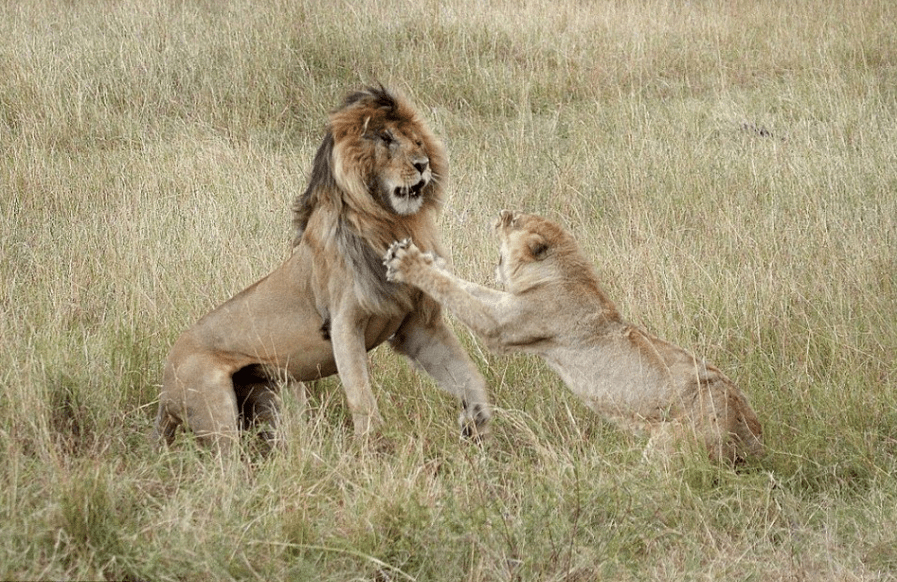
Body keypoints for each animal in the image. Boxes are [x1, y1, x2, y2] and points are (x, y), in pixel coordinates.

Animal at [154, 86, 490, 452]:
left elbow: (469, 377)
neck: (388, 223)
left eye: (417, 141)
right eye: (386, 138)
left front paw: (477, 425)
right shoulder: (343, 323)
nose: (423, 165)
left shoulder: (416, 326)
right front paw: (373, 449)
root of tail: (163, 388)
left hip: (276, 395)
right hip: (216, 408)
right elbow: (362, 397)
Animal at [384, 211, 764, 466]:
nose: (502, 212)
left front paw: (409, 264)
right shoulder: (508, 305)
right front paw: (427, 259)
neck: (565, 273)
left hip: (670, 444)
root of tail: (754, 432)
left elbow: (455, 290)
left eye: (514, 222)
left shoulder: (504, 325)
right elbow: (464, 285)